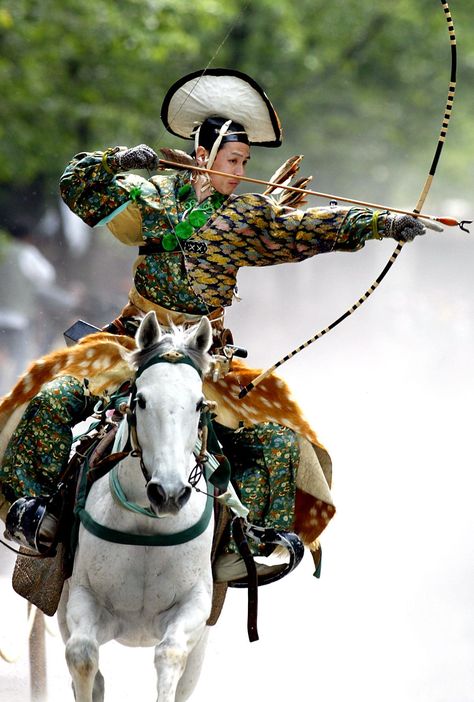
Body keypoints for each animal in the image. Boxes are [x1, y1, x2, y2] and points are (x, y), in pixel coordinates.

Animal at [56, 314, 216, 702]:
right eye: (141, 400)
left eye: (198, 404)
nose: (169, 493)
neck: (148, 525)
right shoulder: (82, 595)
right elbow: (82, 655)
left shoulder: (196, 603)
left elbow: (171, 653)